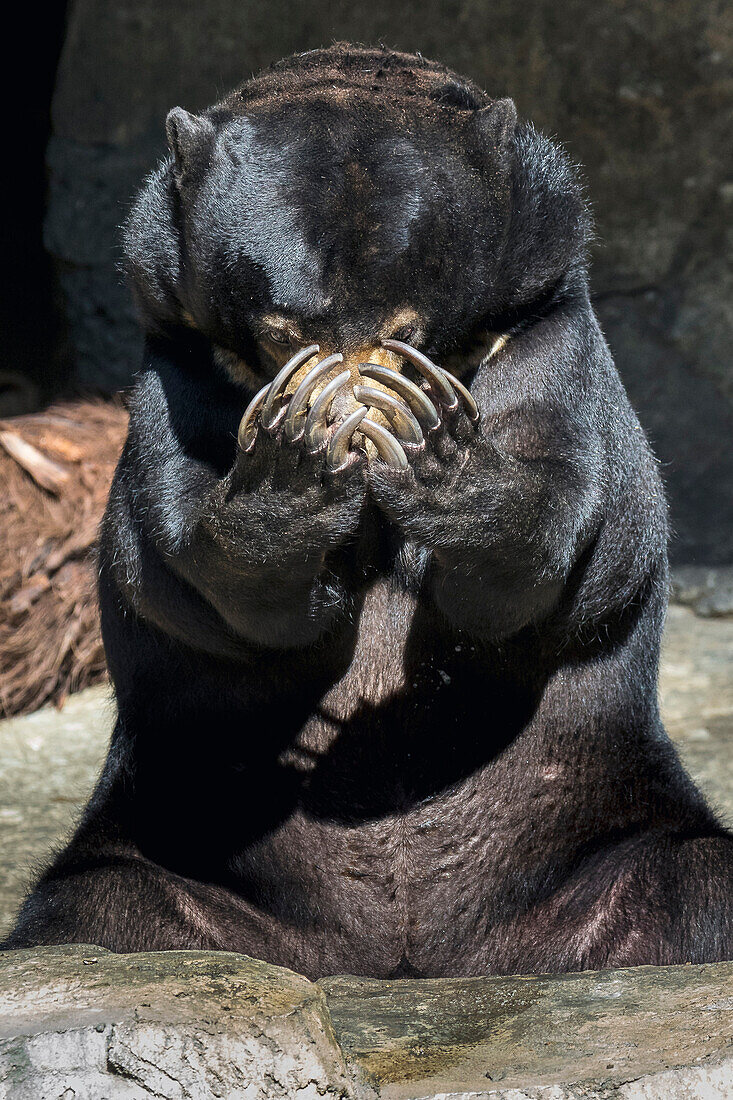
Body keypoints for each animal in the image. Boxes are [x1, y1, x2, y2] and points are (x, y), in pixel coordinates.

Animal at [2, 45, 726, 981]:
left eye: (404, 332)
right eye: (282, 334)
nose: (349, 429)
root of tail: (401, 956)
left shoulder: (538, 327)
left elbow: (561, 516)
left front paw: (440, 458)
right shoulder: (181, 351)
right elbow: (175, 540)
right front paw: (289, 474)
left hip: (601, 820)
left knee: (695, 883)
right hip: (181, 827)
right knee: (96, 908)